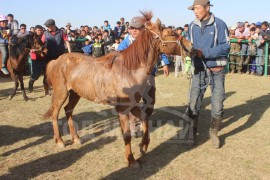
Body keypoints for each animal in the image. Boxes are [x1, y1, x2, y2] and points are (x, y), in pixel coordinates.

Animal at [43, 10, 192, 167]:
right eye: (171, 33)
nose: (191, 46)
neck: (129, 71)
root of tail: (56, 61)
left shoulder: (133, 104)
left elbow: (145, 119)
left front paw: (143, 146)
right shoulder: (122, 108)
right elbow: (126, 135)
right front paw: (131, 160)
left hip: (75, 93)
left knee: (68, 111)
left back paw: (76, 138)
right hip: (61, 93)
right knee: (55, 114)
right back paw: (60, 141)